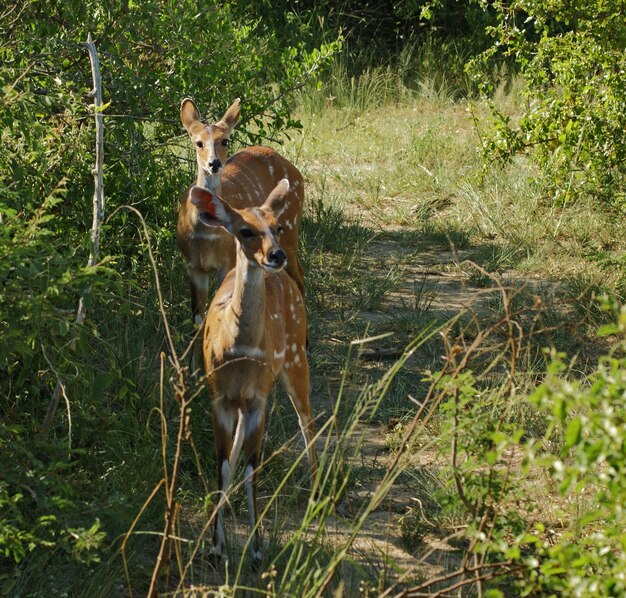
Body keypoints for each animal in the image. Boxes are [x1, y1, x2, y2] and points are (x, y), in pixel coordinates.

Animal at [189, 180, 316, 564]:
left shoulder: (258, 398)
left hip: (294, 360)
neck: (240, 351)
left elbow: (252, 469)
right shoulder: (219, 397)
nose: (276, 255)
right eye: (245, 231)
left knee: (307, 421)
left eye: (277, 227)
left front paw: (258, 549)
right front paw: (215, 545)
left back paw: (318, 495)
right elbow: (223, 465)